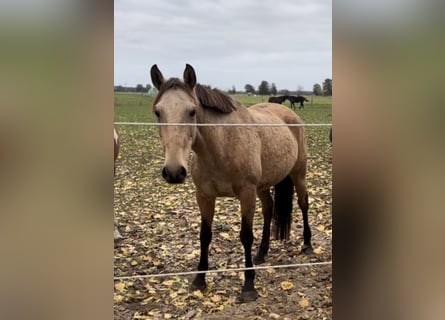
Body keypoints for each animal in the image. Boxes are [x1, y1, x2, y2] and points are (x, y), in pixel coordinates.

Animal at [149, 63, 312, 302]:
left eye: (192, 111)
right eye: (158, 112)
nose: (173, 171)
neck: (222, 146)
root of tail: (290, 114)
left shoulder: (246, 194)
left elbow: (245, 236)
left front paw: (248, 286)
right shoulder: (204, 196)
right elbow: (204, 236)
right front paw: (199, 280)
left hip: (298, 174)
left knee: (303, 204)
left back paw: (307, 245)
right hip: (263, 187)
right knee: (268, 209)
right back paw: (261, 253)